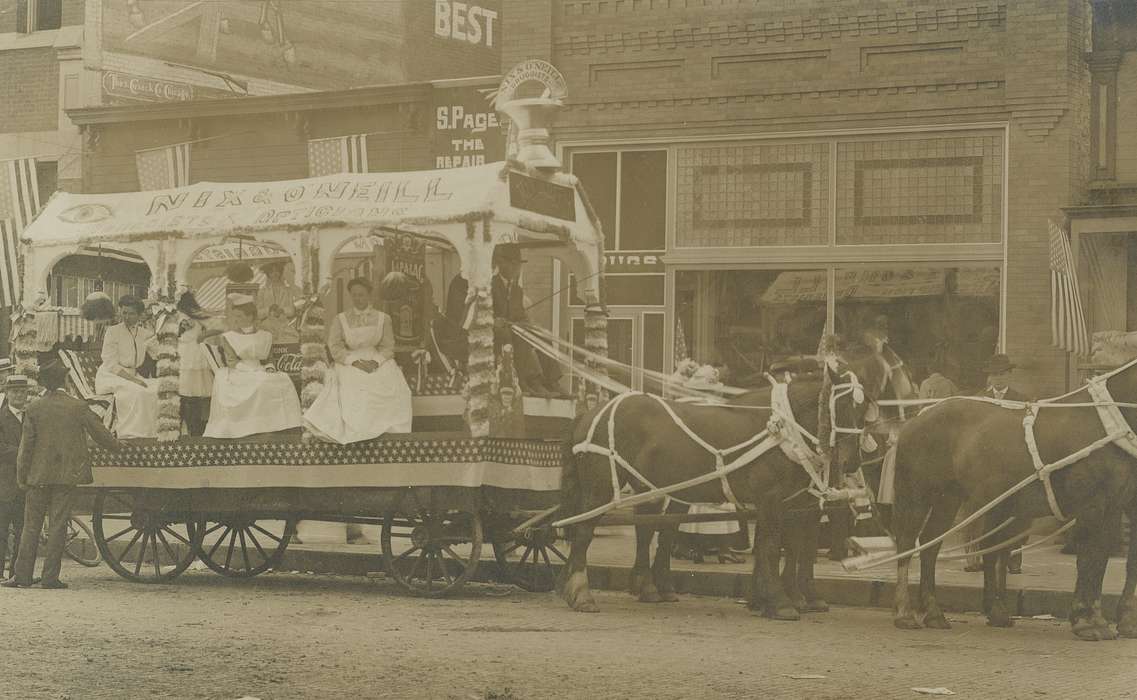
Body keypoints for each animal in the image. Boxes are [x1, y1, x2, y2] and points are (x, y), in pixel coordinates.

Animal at [559, 352, 886, 622]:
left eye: (863, 411)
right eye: (840, 405)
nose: (852, 461)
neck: (782, 430)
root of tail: (589, 412)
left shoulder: (786, 502)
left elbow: (780, 547)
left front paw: (766, 599)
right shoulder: (772, 499)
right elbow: (771, 548)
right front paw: (780, 602)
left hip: (649, 487)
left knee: (649, 528)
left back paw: (648, 587)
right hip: (601, 487)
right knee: (585, 531)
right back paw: (582, 593)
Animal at [886, 363, 1137, 640]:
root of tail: (918, 417)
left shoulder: (1118, 505)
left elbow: (1112, 562)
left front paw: (1115, 621)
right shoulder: (1092, 504)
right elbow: (1089, 559)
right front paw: (1086, 621)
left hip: (948, 498)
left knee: (931, 545)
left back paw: (934, 613)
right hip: (916, 494)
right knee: (906, 543)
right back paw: (904, 613)